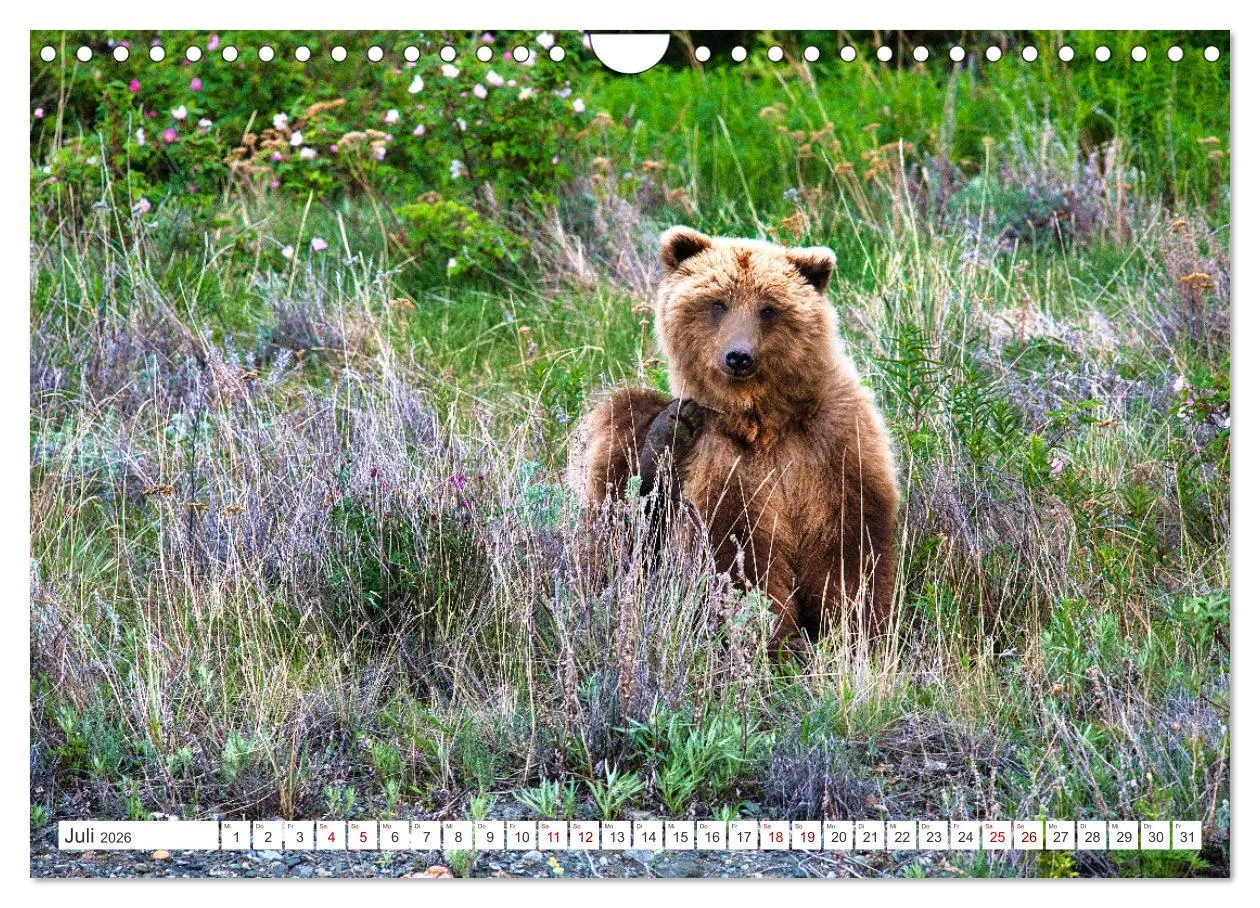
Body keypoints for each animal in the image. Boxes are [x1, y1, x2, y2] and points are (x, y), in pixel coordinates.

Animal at [571, 226, 900, 651]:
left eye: (768, 308)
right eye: (718, 303)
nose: (739, 356)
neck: (762, 420)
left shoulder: (834, 439)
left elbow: (849, 543)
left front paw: (852, 630)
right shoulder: (722, 461)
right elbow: (739, 552)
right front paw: (773, 636)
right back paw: (664, 441)